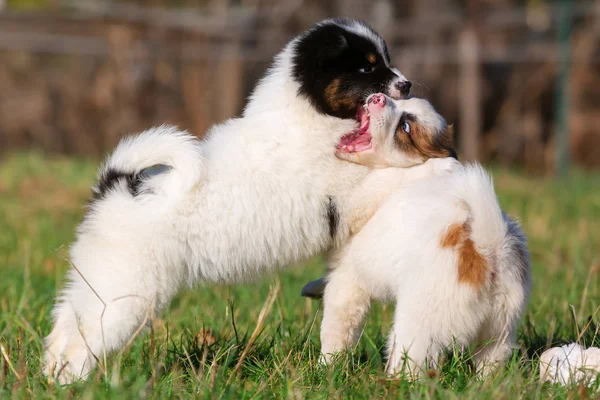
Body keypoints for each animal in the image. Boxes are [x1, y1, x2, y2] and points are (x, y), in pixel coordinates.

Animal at [314, 94, 528, 378]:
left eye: (405, 127)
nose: (378, 97)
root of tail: (487, 247)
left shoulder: (347, 279)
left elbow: (336, 327)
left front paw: (326, 367)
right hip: (499, 330)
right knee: (492, 360)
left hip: (418, 325)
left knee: (410, 361)